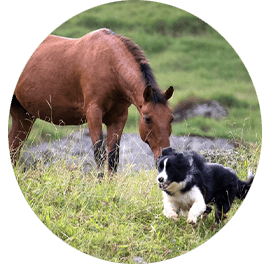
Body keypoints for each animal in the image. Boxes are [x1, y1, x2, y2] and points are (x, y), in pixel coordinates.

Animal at [8, 28, 174, 174]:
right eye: (147, 119)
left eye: (171, 119)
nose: (164, 157)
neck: (109, 64)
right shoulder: (93, 113)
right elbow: (99, 155)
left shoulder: (119, 118)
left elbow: (113, 158)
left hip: (23, 116)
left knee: (14, 150)